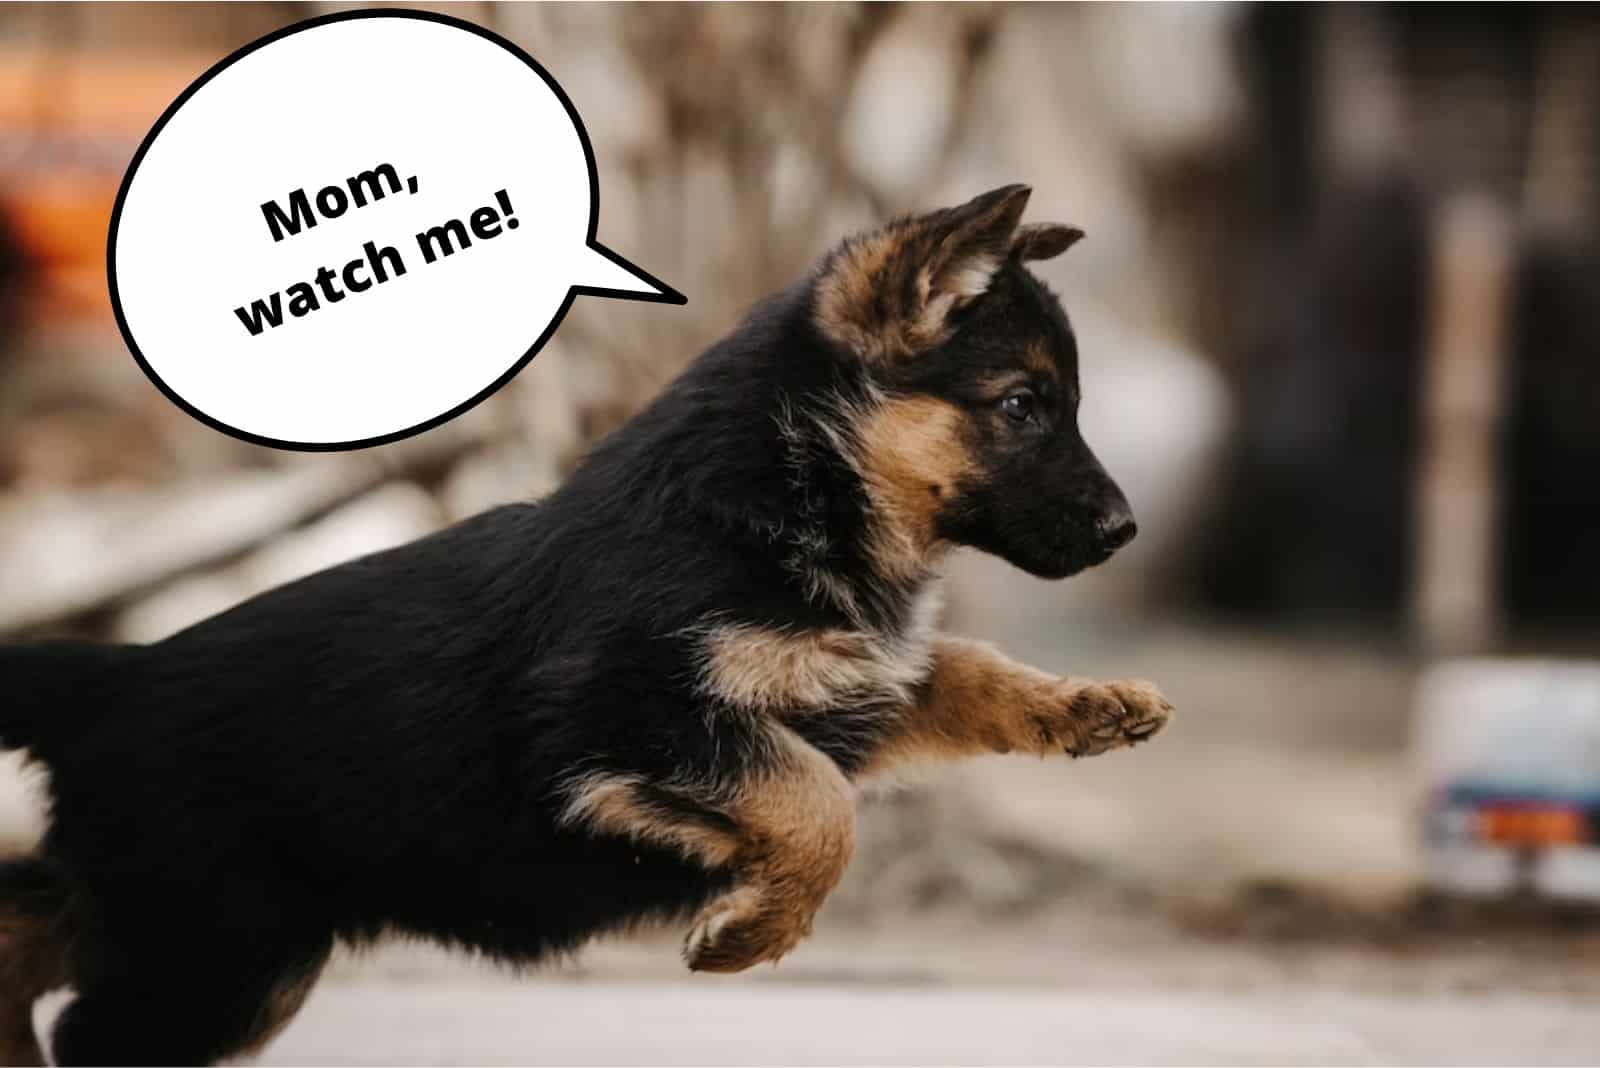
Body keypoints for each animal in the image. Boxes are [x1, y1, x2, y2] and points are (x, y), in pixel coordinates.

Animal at [0, 187, 1171, 1061]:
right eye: (1021, 406)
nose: (1126, 532)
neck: (789, 484)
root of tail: (111, 676)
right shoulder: (623, 714)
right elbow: (817, 803)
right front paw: (752, 931)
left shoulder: (845, 685)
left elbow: (955, 672)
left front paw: (1085, 707)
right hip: (218, 953)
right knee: (88, 1026)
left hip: (180, 923)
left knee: (24, 927)